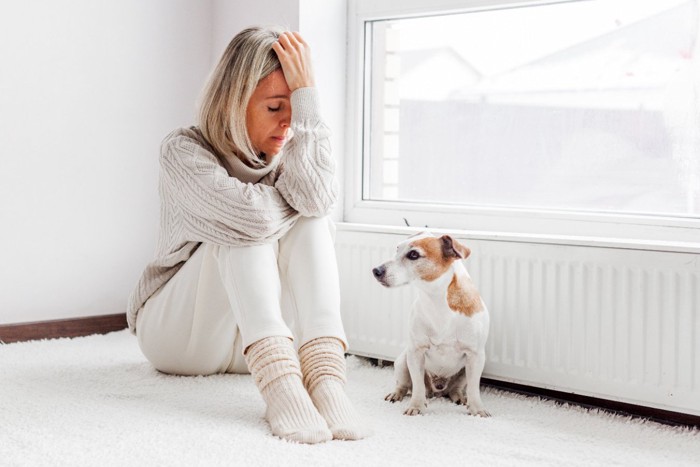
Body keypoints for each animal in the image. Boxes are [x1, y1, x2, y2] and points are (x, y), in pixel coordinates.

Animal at [372, 232, 492, 418]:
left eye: (413, 254)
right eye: (397, 249)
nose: (376, 270)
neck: (436, 298)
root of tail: (438, 390)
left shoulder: (475, 355)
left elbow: (474, 389)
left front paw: (477, 409)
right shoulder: (416, 353)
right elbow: (417, 386)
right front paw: (416, 406)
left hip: (466, 370)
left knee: (456, 388)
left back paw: (459, 397)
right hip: (402, 361)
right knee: (405, 385)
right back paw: (397, 394)